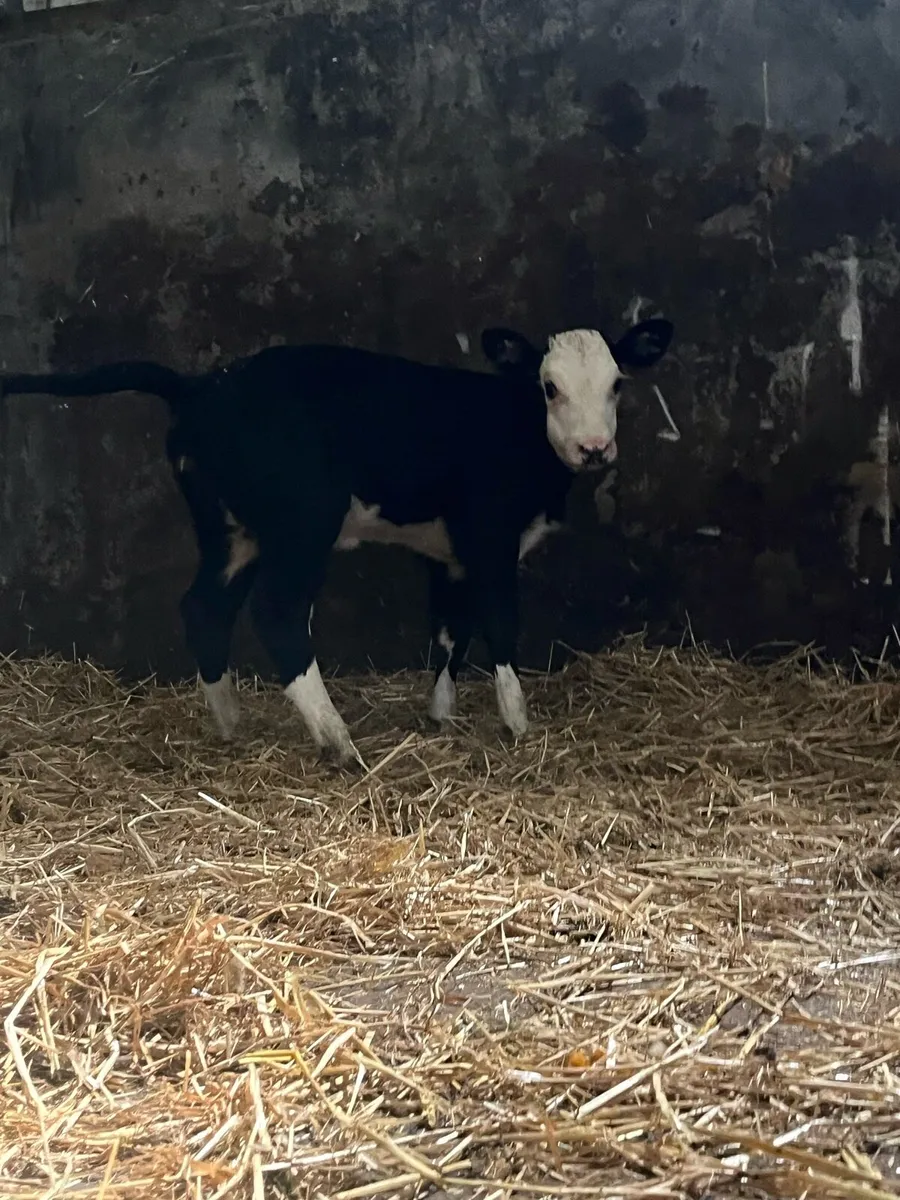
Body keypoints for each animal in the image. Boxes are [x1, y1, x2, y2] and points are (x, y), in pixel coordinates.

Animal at [0, 316, 674, 766]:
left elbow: (449, 632)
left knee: (204, 609)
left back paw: (230, 723)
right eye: (549, 387)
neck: (514, 432)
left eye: (617, 384)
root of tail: (203, 385)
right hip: (303, 525)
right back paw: (338, 739)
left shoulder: (448, 552)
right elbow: (500, 624)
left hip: (232, 531)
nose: (594, 449)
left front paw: (440, 714)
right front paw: (518, 723)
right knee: (278, 614)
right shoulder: (488, 540)